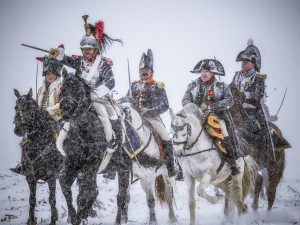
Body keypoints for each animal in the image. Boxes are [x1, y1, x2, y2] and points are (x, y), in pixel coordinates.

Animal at [59, 72, 132, 225]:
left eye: (78, 90)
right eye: (62, 90)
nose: (66, 109)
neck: (82, 132)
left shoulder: (90, 166)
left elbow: (86, 194)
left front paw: (81, 215)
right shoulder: (72, 164)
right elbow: (65, 184)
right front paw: (74, 216)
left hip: (124, 169)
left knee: (121, 197)